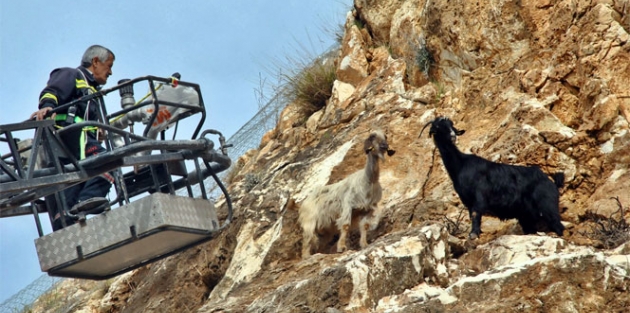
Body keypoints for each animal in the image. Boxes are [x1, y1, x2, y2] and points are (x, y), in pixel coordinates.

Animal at [300, 130, 396, 258]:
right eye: (372, 136)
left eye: (385, 136)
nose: (384, 146)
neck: (368, 181)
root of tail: (305, 202)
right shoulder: (348, 206)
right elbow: (345, 225)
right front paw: (342, 247)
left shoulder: (367, 209)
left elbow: (364, 226)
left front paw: (364, 244)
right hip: (309, 221)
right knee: (308, 237)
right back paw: (306, 256)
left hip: (325, 228)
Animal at [424, 117, 568, 239]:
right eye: (437, 127)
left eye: (452, 126)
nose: (452, 136)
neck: (461, 165)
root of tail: (552, 183)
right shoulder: (468, 201)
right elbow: (473, 215)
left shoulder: (479, 196)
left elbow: (476, 214)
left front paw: (473, 235)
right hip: (526, 216)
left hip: (548, 206)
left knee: (559, 226)